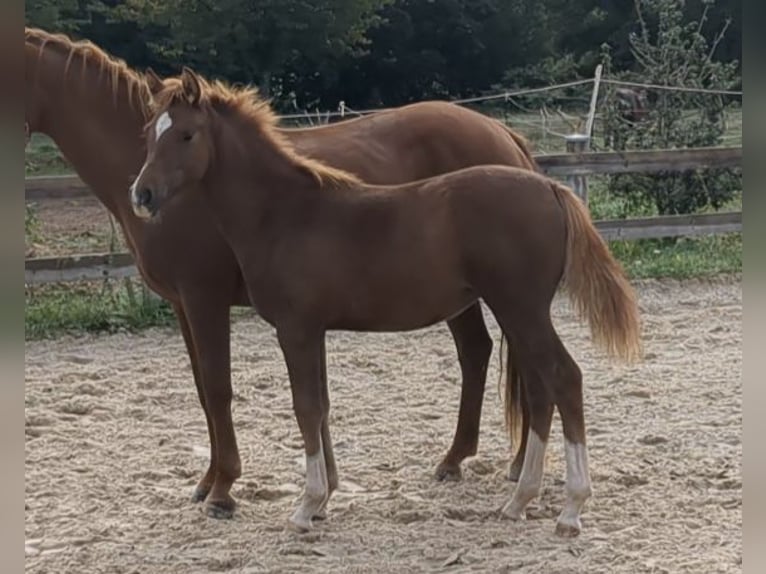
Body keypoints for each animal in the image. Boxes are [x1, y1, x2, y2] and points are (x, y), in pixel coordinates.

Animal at [26, 27, 544, 518]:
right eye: (150, 134)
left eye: (185, 137)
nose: (143, 195)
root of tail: (503, 135)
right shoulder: (182, 305)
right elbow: (203, 390)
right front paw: (209, 482)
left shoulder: (204, 297)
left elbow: (219, 389)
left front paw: (224, 490)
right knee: (480, 352)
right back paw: (461, 460)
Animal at [129, 67, 642, 537]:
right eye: (149, 134)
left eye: (187, 134)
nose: (142, 194)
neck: (284, 213)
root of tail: (552, 188)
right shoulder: (313, 330)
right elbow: (322, 406)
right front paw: (322, 500)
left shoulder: (295, 329)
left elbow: (305, 408)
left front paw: (305, 507)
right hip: (518, 313)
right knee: (539, 390)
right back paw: (519, 501)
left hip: (522, 308)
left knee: (564, 379)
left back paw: (571, 509)